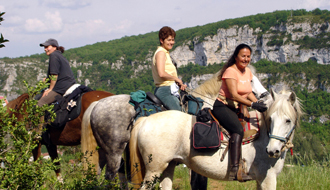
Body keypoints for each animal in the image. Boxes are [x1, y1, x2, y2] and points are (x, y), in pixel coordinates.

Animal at [128, 87, 302, 189]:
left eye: (288, 120)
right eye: (271, 119)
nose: (272, 150)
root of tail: (145, 120)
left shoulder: (261, 181)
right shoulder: (268, 179)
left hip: (168, 166)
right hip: (154, 170)